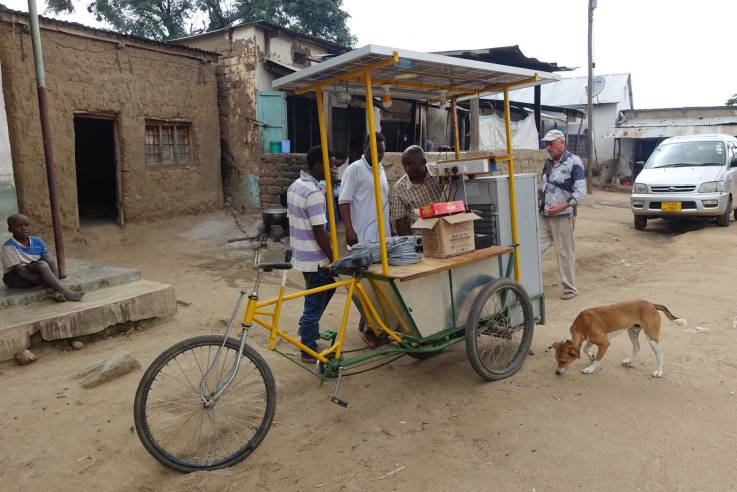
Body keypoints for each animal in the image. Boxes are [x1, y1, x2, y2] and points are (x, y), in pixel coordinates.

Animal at [552, 300, 684, 376]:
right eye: (556, 360)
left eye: (563, 361)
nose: (557, 373)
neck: (580, 325)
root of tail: (651, 304)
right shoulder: (590, 339)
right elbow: (585, 349)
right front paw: (591, 356)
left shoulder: (604, 342)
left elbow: (597, 359)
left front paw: (590, 368)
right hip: (632, 331)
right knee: (637, 347)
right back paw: (629, 361)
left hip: (651, 336)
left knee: (659, 354)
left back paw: (659, 372)